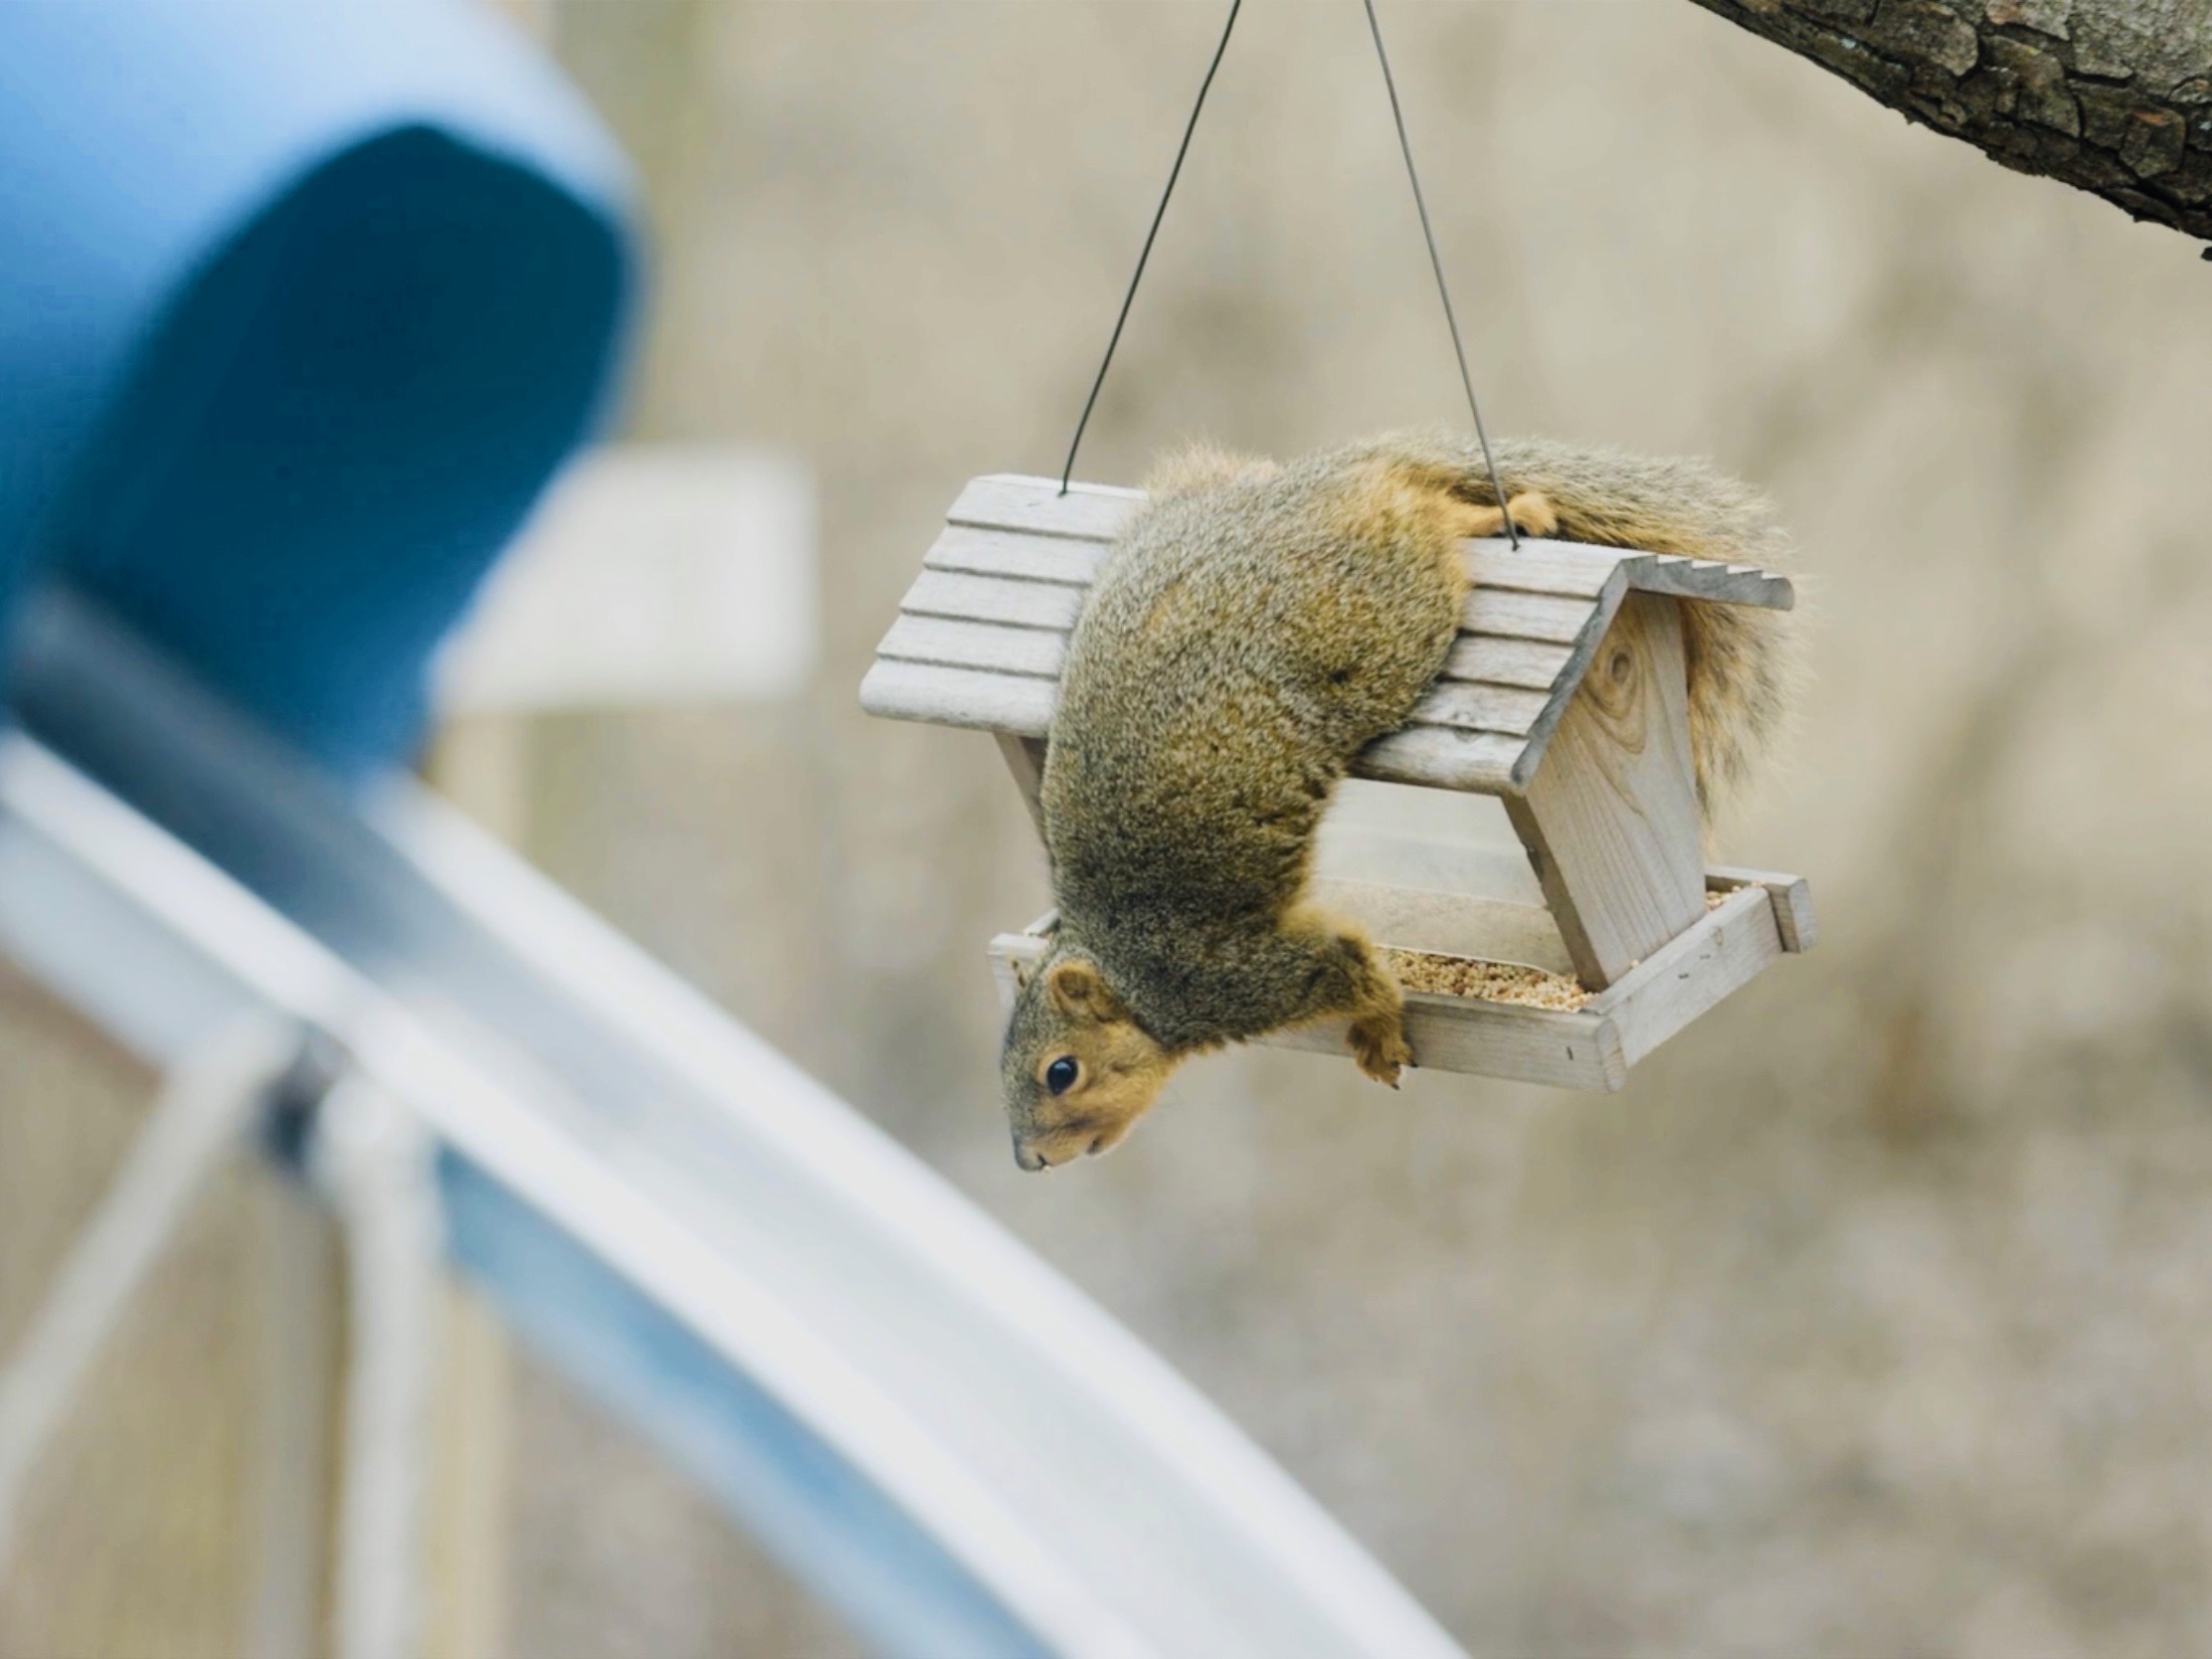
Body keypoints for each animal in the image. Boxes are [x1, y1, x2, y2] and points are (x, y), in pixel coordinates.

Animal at [1001, 429, 1798, 1170]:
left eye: (1061, 1072)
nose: (1029, 1161)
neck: (1126, 972)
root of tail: (1311, 480)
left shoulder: (1234, 979)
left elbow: (1355, 968)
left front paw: (1380, 1036)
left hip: (1385, 617)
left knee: (1426, 514)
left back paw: (1503, 514)